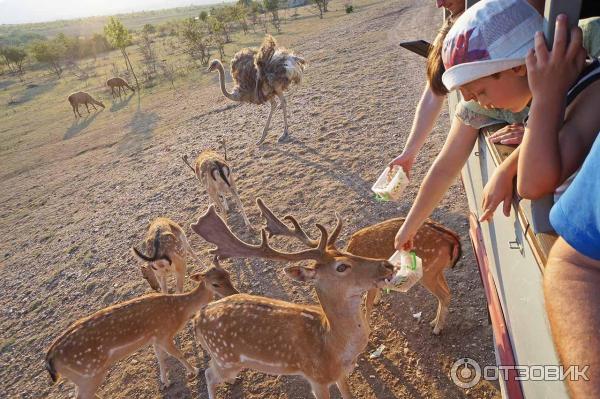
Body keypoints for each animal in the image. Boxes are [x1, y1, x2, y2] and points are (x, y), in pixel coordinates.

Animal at [44, 264, 238, 398]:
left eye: (228, 274)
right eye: (215, 284)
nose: (234, 293)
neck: (180, 311)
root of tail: (50, 359)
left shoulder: (154, 338)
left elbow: (160, 357)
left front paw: (165, 382)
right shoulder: (164, 334)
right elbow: (178, 354)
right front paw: (195, 371)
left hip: (81, 378)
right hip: (88, 375)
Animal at [188, 200, 394, 399]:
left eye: (349, 252)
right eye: (341, 267)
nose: (387, 265)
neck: (332, 347)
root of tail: (197, 318)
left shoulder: (340, 374)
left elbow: (348, 395)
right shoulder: (317, 378)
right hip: (225, 357)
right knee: (209, 374)